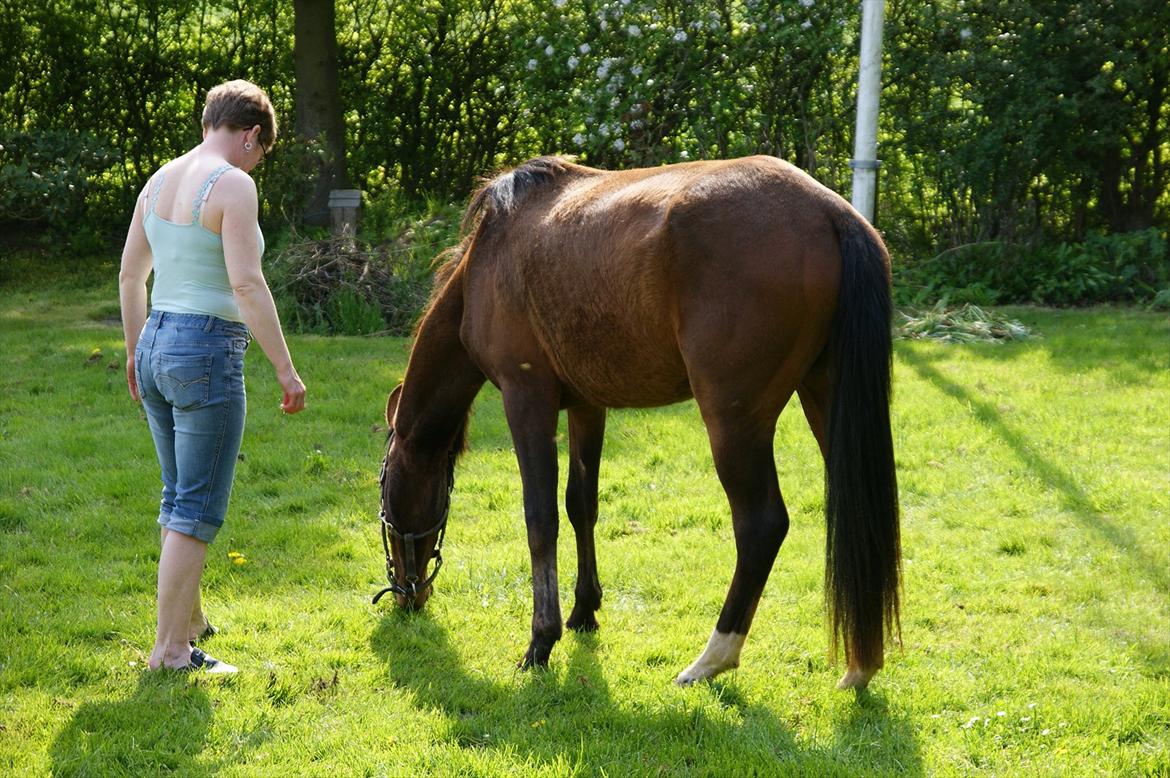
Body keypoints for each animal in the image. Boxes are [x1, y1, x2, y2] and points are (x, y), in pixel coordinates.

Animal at [375, 155, 900, 690]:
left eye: (384, 486)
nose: (406, 593)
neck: (487, 259)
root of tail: (833, 213)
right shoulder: (587, 407)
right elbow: (580, 506)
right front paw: (584, 611)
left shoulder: (528, 401)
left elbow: (540, 519)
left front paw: (541, 642)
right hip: (825, 401)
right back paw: (862, 663)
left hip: (734, 423)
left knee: (761, 527)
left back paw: (712, 658)